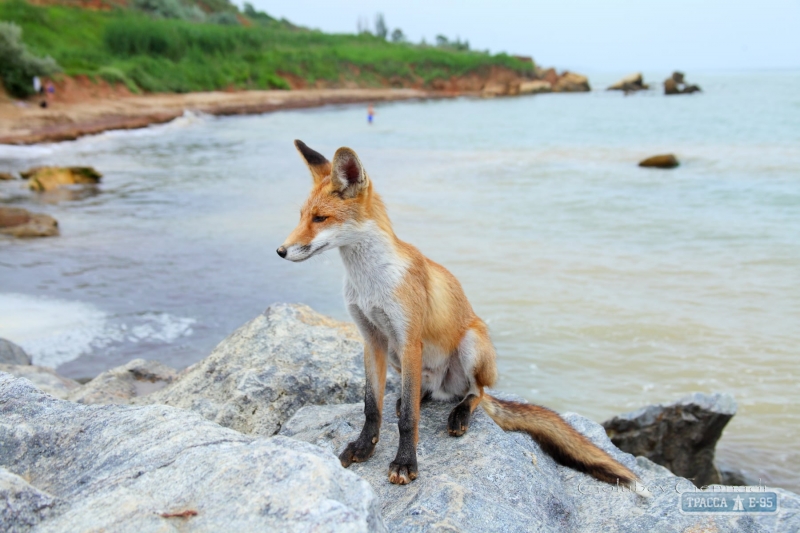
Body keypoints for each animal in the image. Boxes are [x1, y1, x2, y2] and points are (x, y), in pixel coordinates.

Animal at [278, 138, 648, 490]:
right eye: (301, 216)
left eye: (320, 218)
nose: (280, 251)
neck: (369, 283)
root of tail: (446, 388)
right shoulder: (373, 340)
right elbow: (372, 407)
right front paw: (364, 447)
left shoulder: (408, 338)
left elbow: (408, 420)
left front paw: (405, 463)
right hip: (403, 360)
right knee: (422, 393)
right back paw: (418, 396)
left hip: (471, 344)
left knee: (477, 393)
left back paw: (459, 413)